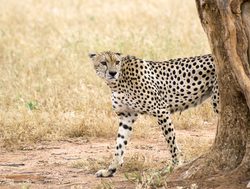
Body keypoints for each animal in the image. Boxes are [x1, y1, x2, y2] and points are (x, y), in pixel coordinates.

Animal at [88, 51, 219, 177]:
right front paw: (110, 170)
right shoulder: (126, 116)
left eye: (117, 62)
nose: (113, 73)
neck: (119, 81)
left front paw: (174, 165)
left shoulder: (161, 110)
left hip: (217, 101)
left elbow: (171, 141)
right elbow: (120, 144)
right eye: (103, 62)